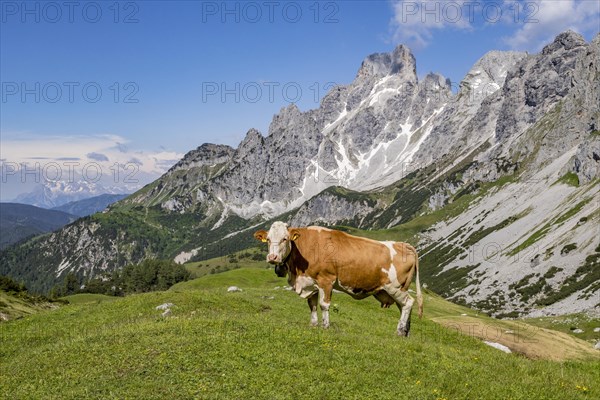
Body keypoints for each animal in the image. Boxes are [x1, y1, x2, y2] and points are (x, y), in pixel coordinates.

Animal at [253, 220, 422, 336]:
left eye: (285, 239)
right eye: (268, 239)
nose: (272, 257)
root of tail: (403, 245)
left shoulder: (326, 280)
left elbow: (324, 305)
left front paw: (325, 327)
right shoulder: (311, 283)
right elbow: (312, 305)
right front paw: (313, 325)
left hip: (395, 287)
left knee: (408, 303)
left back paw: (399, 331)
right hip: (397, 289)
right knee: (403, 306)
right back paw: (405, 332)